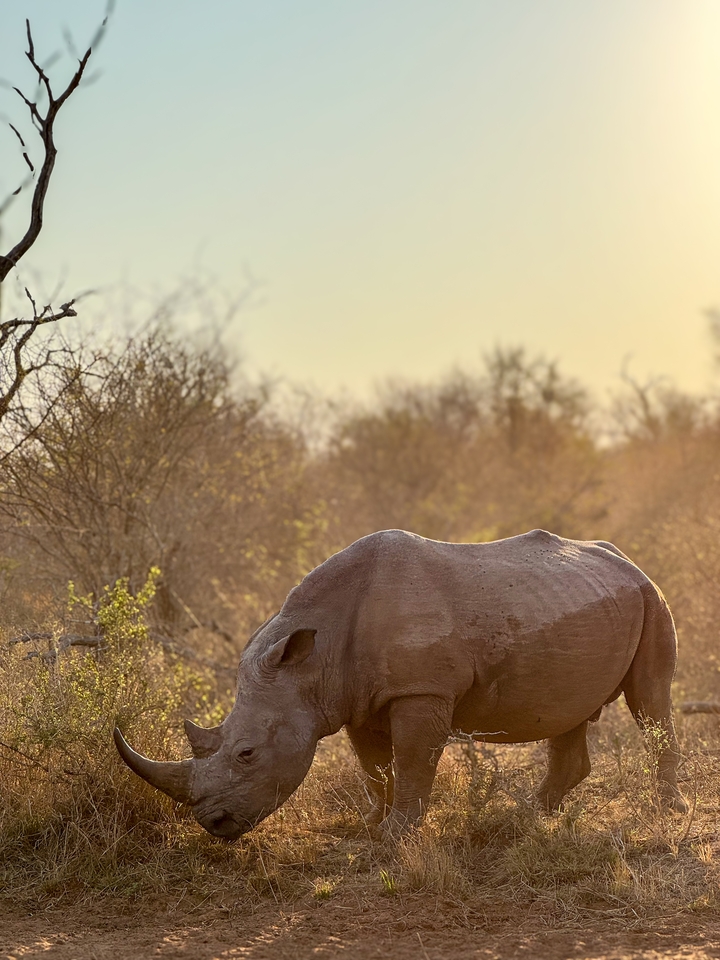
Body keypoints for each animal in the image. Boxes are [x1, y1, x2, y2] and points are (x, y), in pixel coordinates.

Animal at [114, 529, 686, 839]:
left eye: (247, 754)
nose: (212, 823)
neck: (311, 660)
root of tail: (625, 559)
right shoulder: (354, 698)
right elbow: (374, 765)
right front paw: (372, 824)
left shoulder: (420, 689)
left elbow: (411, 759)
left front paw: (396, 834)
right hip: (585, 599)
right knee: (570, 712)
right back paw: (528, 816)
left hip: (652, 597)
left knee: (651, 698)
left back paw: (669, 812)